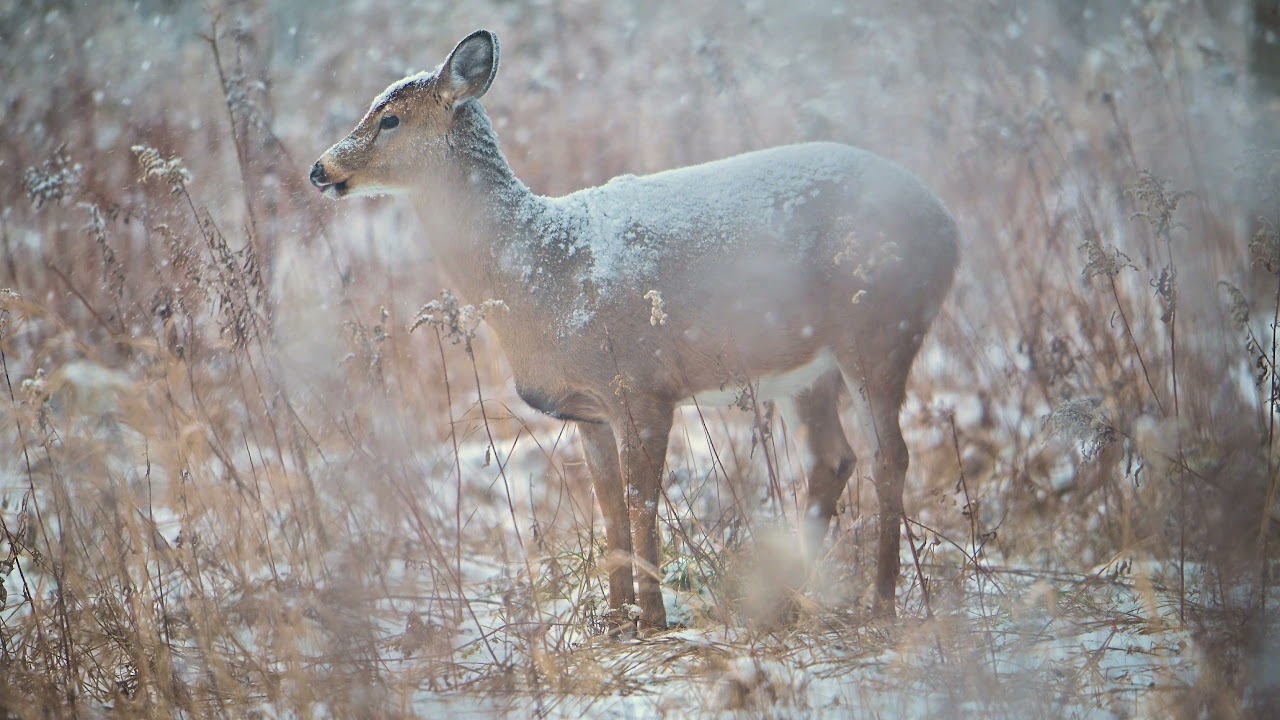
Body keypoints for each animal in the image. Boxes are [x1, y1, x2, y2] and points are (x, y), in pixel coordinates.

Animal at [307, 29, 952, 632]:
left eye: (390, 118)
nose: (319, 169)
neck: (544, 271)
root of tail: (947, 224)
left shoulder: (643, 385)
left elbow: (642, 503)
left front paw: (654, 620)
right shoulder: (587, 409)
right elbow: (609, 507)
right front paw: (616, 622)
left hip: (878, 328)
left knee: (888, 455)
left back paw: (882, 604)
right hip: (805, 369)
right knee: (833, 458)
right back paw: (792, 599)